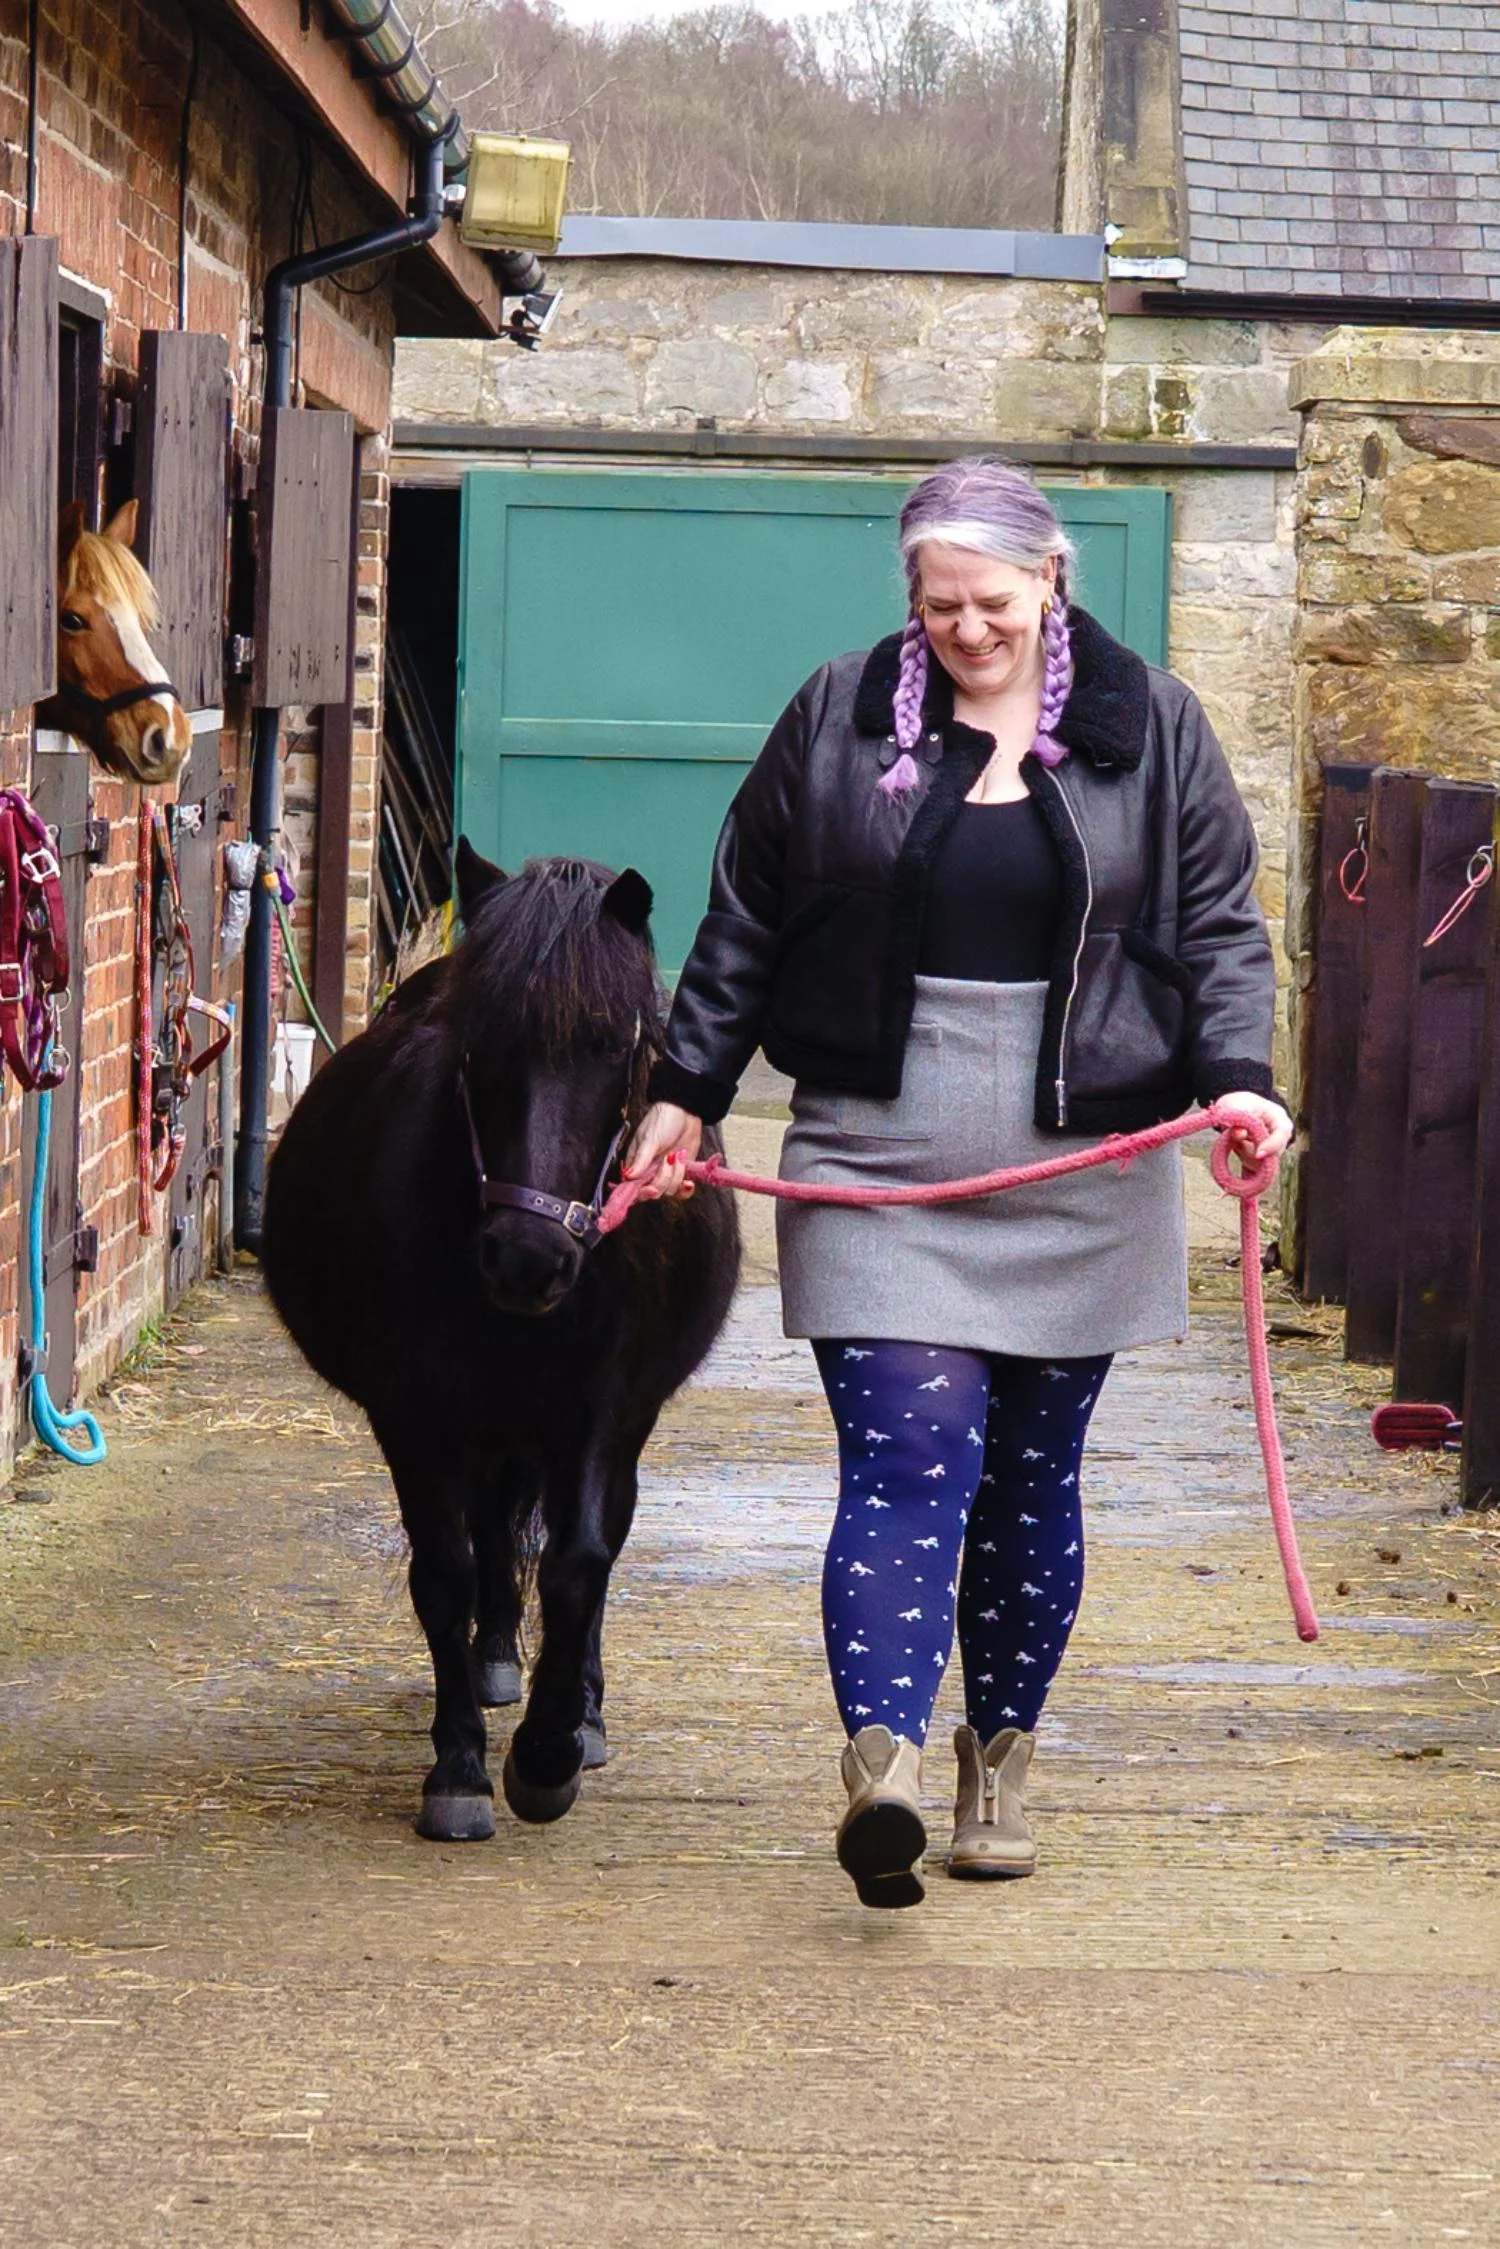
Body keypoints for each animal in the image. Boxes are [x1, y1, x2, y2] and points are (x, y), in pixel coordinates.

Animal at [261, 844, 741, 1840]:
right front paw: (459, 1769)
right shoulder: (418, 1418)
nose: (528, 1259)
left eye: (615, 1048)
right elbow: (444, 1574)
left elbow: (579, 1565)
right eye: (475, 1046)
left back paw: (582, 1710)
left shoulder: (600, 1414)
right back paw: (493, 1662)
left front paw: (551, 1750)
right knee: (489, 1533)